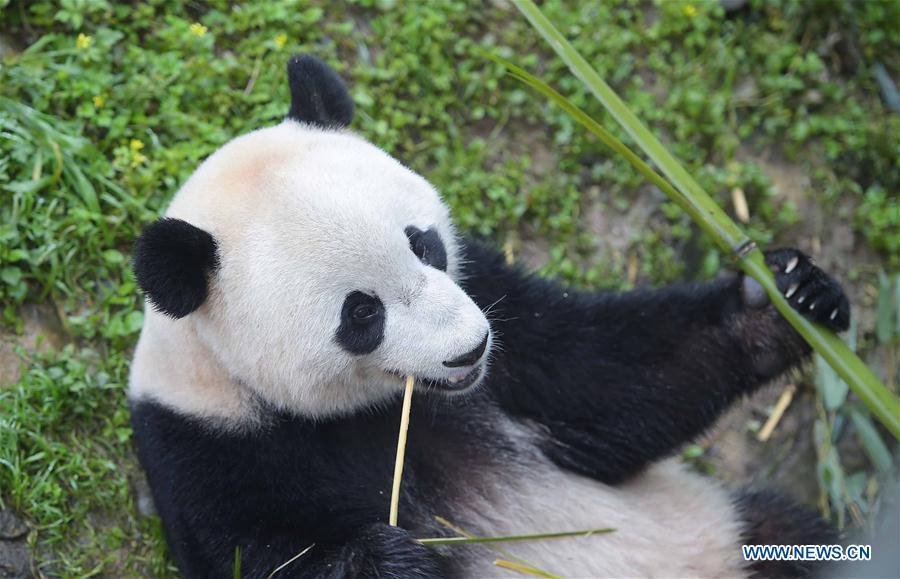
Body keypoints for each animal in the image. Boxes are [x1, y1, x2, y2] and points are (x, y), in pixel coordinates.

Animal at [130, 55, 848, 579]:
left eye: (424, 244)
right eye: (361, 313)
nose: (469, 349)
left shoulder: (503, 322)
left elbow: (611, 379)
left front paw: (785, 299)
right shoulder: (206, 444)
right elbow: (257, 551)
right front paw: (392, 560)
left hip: (724, 534)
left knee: (798, 539)